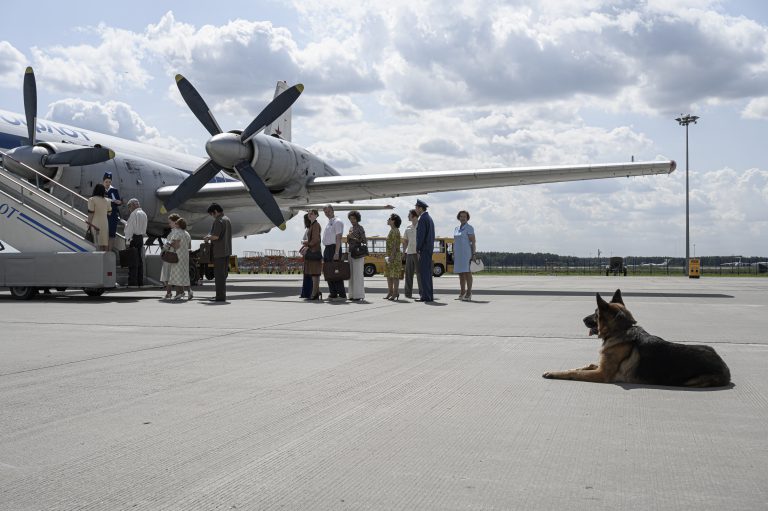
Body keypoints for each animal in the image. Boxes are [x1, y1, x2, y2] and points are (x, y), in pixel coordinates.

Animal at [544, 288, 728, 388]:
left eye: (595, 313)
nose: (582, 319)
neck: (621, 330)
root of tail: (725, 367)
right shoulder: (600, 366)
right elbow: (585, 366)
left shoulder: (602, 374)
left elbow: (575, 373)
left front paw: (554, 373)